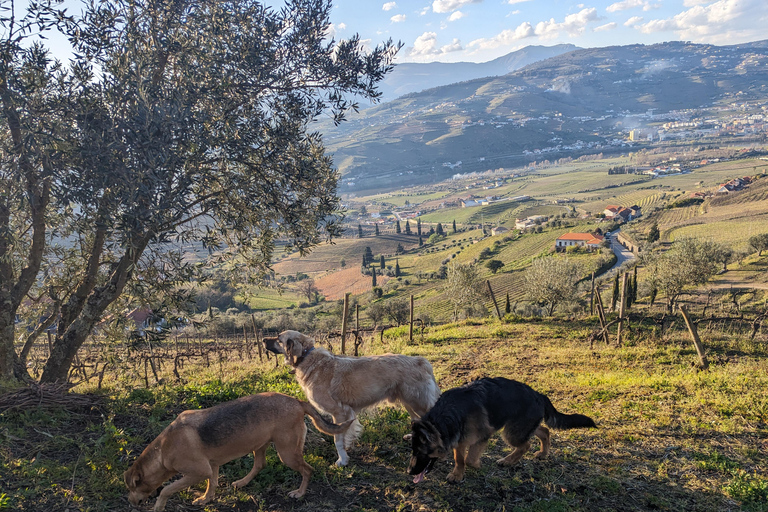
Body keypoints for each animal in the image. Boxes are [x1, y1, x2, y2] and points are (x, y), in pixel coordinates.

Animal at [124, 392, 352, 508]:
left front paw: (158, 506)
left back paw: (300, 493)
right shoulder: (212, 467)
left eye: (132, 488)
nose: (130, 502)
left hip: (287, 453)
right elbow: (212, 484)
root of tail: (297, 401)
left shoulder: (198, 472)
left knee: (308, 470)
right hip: (260, 444)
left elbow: (166, 490)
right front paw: (206, 499)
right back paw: (242, 482)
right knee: (260, 465)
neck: (162, 451)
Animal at [266, 330, 440, 466]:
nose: (262, 340)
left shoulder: (339, 411)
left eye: (278, 338)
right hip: (409, 402)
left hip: (417, 402)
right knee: (418, 420)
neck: (307, 357)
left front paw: (342, 460)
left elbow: (337, 440)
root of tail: (421, 361)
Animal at [408, 376, 592, 484]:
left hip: (511, 433)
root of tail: (538, 394)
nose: (409, 472)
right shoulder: (460, 439)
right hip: (520, 427)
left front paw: (476, 465)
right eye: (413, 451)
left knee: (526, 445)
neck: (448, 414)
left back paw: (508, 461)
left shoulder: (482, 436)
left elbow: (469, 459)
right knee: (544, 431)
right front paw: (457, 475)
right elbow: (459, 459)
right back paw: (543, 453)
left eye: (421, 453)